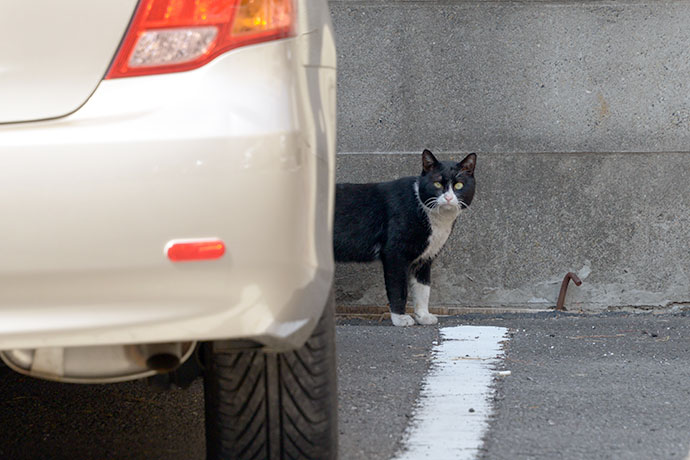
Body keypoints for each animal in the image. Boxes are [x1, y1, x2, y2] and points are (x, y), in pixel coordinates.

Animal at [332, 151, 472, 328]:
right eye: (437, 184)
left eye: (459, 185)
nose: (448, 198)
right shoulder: (395, 254)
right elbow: (398, 289)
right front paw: (400, 319)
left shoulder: (425, 258)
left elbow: (423, 289)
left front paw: (423, 316)